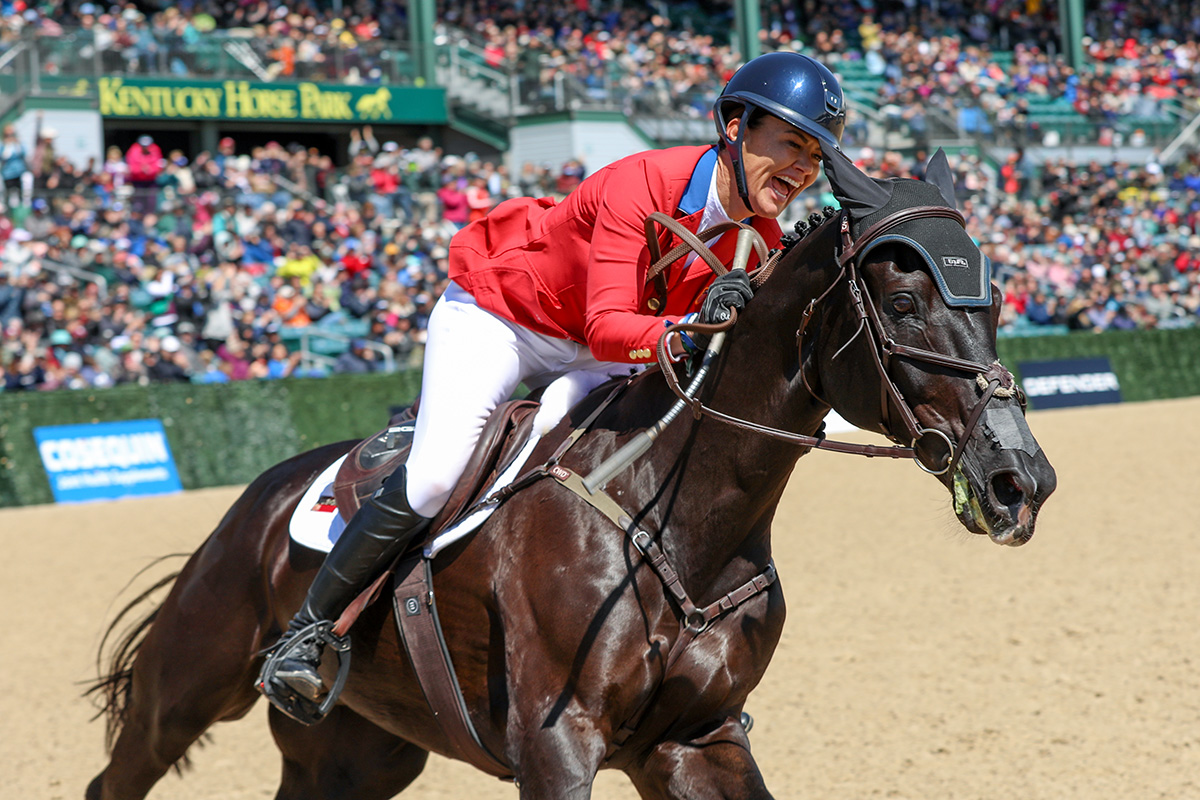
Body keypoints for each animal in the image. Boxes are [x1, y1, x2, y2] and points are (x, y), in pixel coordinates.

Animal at [87, 151, 1060, 800]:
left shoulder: (697, 741)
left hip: (359, 748)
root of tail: (258, 498)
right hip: (190, 683)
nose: (1020, 480)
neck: (676, 523)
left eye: (996, 303)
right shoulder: (557, 745)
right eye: (901, 304)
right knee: (123, 771)